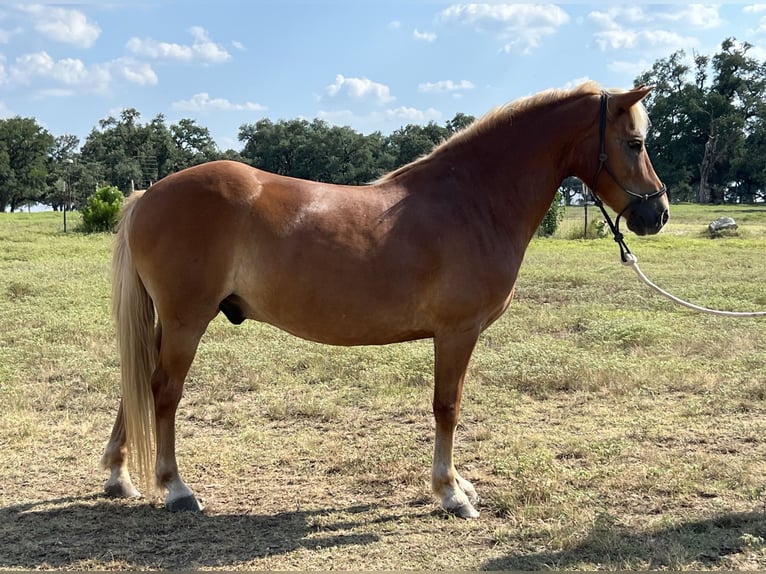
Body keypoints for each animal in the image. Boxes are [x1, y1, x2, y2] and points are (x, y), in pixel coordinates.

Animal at [101, 81, 669, 519]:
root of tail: (147, 195)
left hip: (169, 322)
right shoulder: (456, 332)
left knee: (139, 381)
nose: (657, 214)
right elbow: (447, 407)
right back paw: (176, 488)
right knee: (163, 390)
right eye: (635, 142)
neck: (472, 200)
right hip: (186, 320)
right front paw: (450, 493)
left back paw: (118, 476)